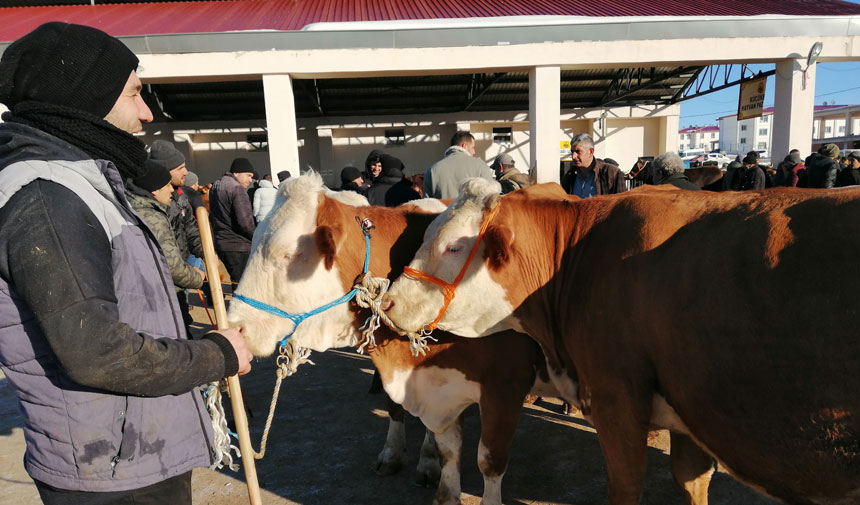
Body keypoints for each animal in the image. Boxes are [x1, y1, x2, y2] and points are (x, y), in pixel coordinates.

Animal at [225, 174, 556, 504]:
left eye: (289, 254)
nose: (236, 328)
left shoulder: (503, 386)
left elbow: (490, 460)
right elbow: (438, 441)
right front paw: (408, 462)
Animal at [386, 178, 860, 504]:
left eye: (452, 247)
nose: (389, 301)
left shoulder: (615, 399)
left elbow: (626, 485)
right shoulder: (689, 408)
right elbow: (693, 479)